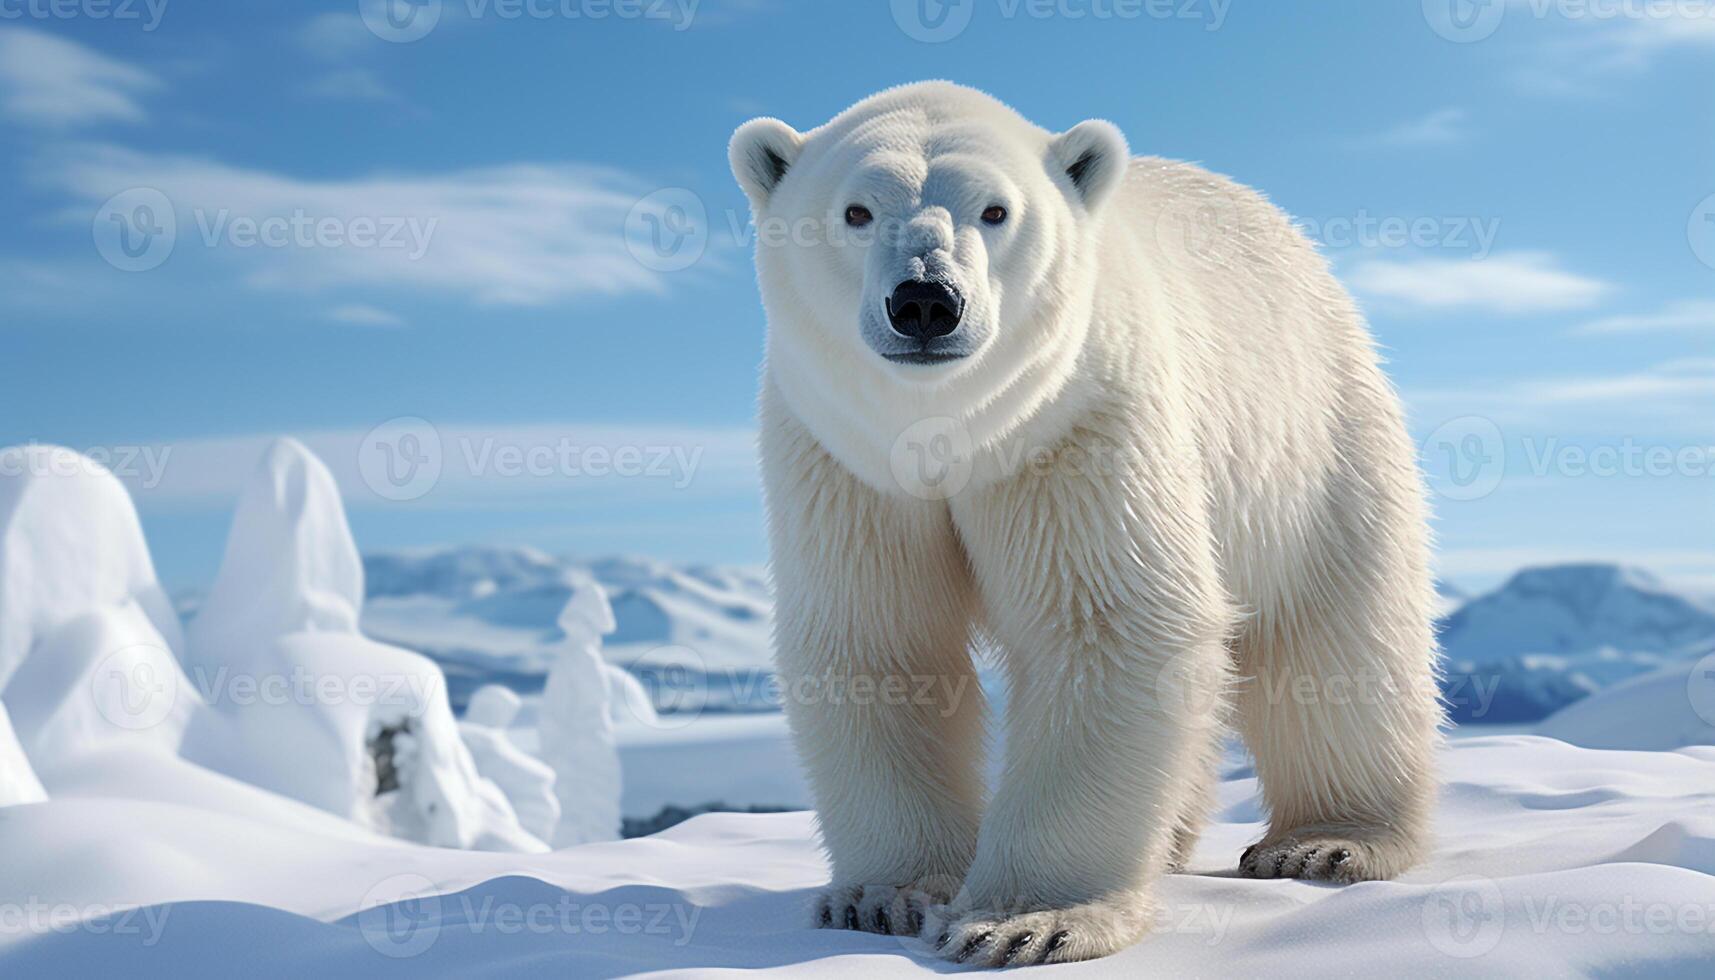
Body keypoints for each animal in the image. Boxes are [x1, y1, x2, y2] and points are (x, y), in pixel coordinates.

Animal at [727, 82, 1447, 967]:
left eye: (995, 210)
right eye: (856, 210)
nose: (925, 301)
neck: (951, 433)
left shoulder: (1078, 423)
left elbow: (1106, 622)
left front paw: (1025, 921)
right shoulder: (843, 461)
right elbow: (880, 638)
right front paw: (882, 897)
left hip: (1312, 442)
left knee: (1333, 639)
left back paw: (1325, 840)